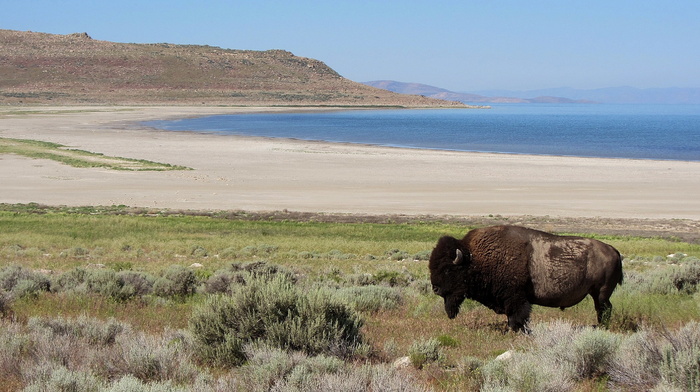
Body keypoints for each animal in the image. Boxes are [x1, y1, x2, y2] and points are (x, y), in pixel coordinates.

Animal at [426, 225, 624, 332]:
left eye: (447, 269)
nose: (435, 288)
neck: (474, 258)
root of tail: (613, 250)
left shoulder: (516, 298)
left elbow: (517, 315)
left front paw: (513, 330)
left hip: (601, 293)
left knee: (604, 309)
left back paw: (601, 327)